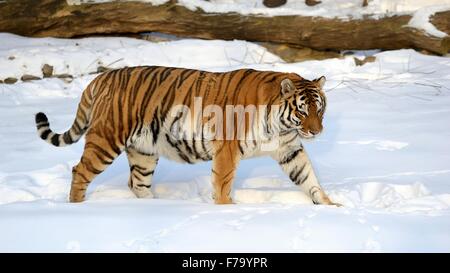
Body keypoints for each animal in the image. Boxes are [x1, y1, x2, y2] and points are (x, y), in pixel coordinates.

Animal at [35, 66, 342, 206]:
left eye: (319, 109)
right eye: (302, 110)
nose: (317, 131)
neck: (282, 126)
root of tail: (100, 77)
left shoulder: (290, 149)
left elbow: (308, 177)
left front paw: (330, 206)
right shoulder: (227, 149)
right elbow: (223, 183)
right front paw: (227, 208)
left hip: (144, 151)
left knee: (137, 183)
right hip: (106, 139)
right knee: (80, 171)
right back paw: (77, 207)